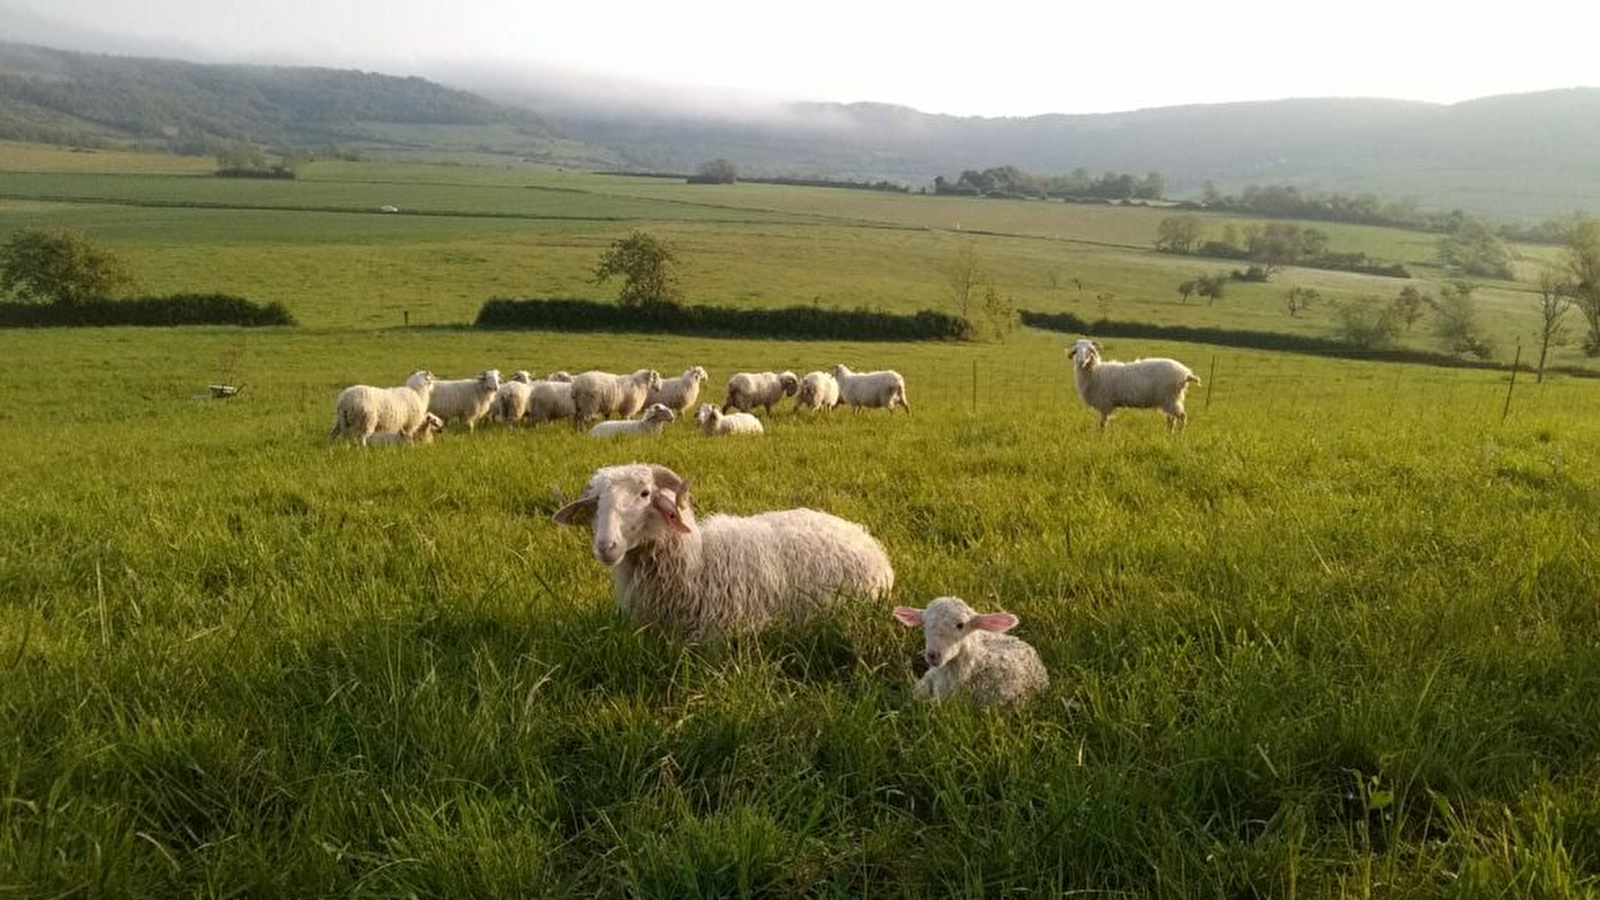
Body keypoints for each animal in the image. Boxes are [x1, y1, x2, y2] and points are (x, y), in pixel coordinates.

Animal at [1062, 339, 1203, 432]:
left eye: (1089, 350)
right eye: (1076, 351)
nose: (1081, 362)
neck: (1095, 373)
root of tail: (1185, 373)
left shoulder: (1105, 404)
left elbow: (1103, 424)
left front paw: (1102, 437)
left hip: (1170, 399)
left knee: (1182, 417)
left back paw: (1180, 435)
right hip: (1170, 400)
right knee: (1172, 420)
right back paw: (1169, 435)